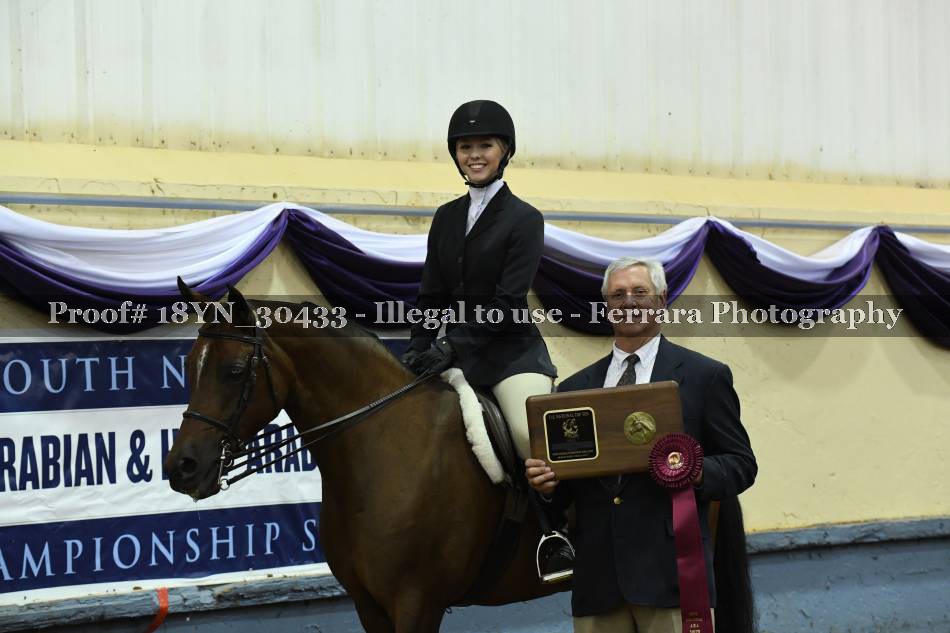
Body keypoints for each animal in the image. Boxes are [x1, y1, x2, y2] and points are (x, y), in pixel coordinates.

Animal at [164, 284, 755, 633]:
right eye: (189, 364)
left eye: (233, 372)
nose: (181, 468)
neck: (381, 448)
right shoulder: (370, 606)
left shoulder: (416, 603)